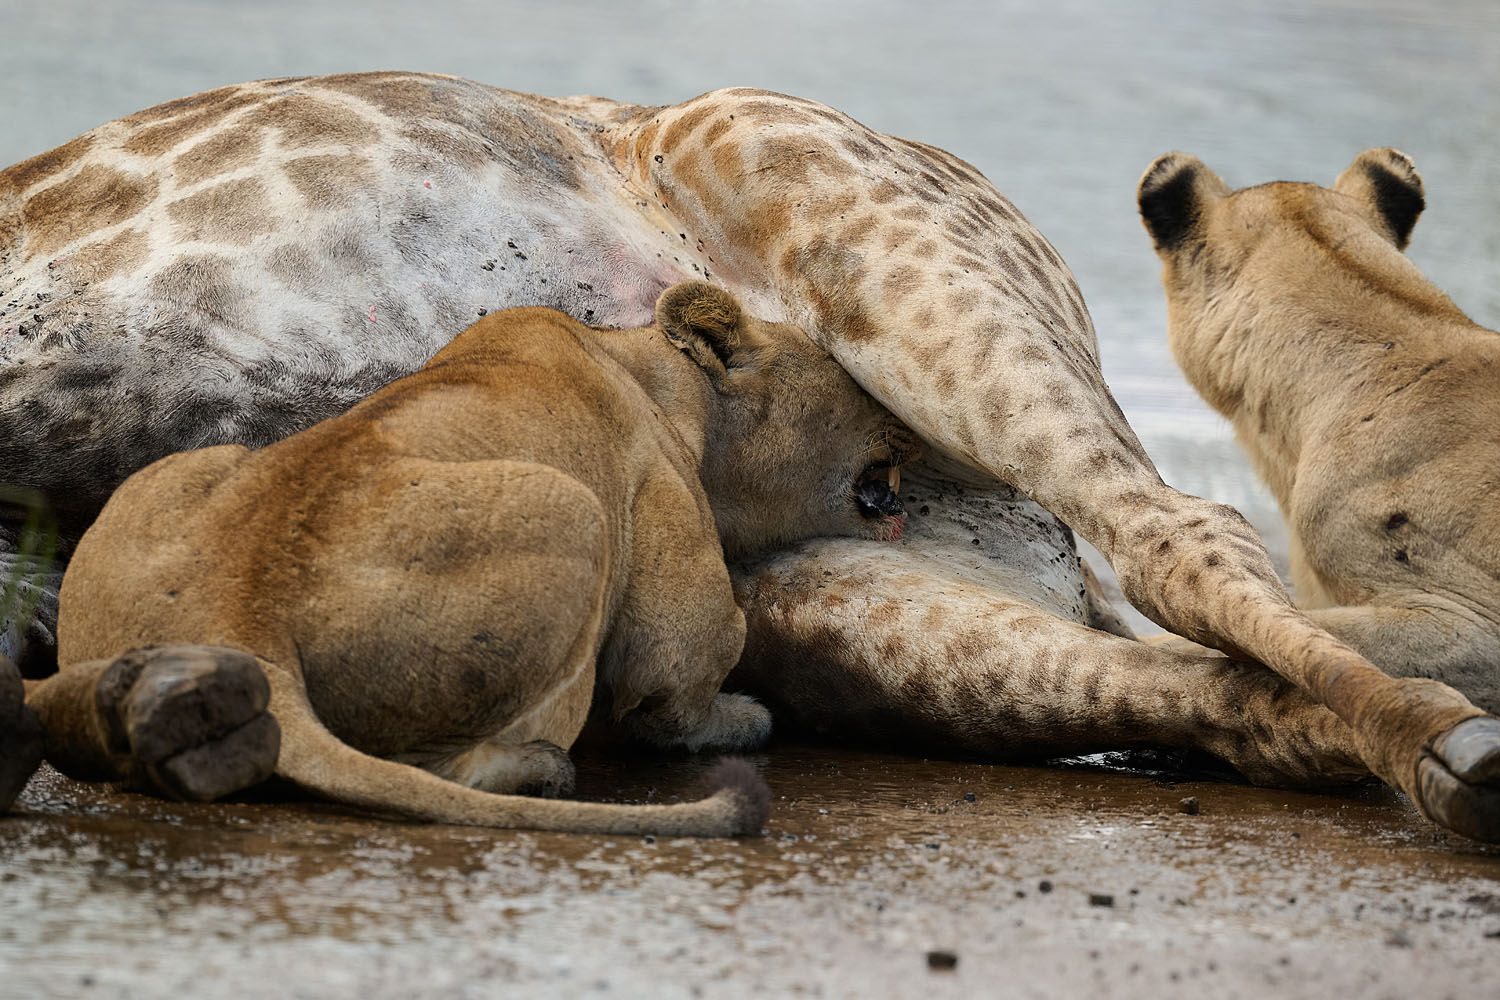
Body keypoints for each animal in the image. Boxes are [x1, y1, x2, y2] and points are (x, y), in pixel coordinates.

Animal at [13, 282, 917, 834]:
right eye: (847, 376)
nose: (907, 430)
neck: (645, 368)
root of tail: (238, 612)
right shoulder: (656, 500)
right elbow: (674, 683)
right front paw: (740, 716)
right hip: (574, 510)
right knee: (448, 770)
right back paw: (542, 769)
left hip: (174, 487)